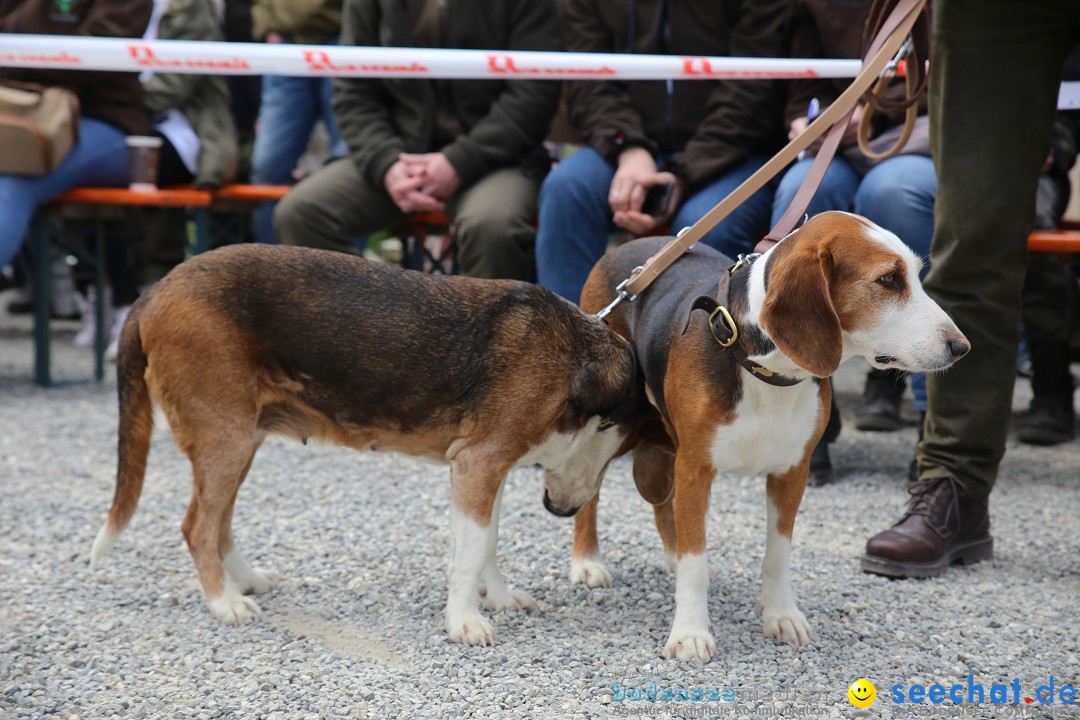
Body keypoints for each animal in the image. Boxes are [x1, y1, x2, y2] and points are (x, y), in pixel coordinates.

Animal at [90, 243, 639, 647]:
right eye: (614, 455)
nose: (562, 511)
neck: (581, 358)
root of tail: (154, 290)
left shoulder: (489, 468)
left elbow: (485, 545)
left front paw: (498, 599)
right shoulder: (478, 466)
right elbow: (470, 555)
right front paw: (464, 621)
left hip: (240, 443)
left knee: (218, 522)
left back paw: (243, 580)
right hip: (225, 440)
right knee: (198, 527)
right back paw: (223, 602)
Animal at [574, 211, 972, 660]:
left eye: (917, 276)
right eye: (888, 280)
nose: (961, 347)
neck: (768, 368)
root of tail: (633, 246)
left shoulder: (792, 472)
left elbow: (777, 555)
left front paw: (781, 615)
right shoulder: (695, 469)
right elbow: (696, 560)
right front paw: (690, 631)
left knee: (663, 507)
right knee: (591, 497)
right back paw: (587, 562)